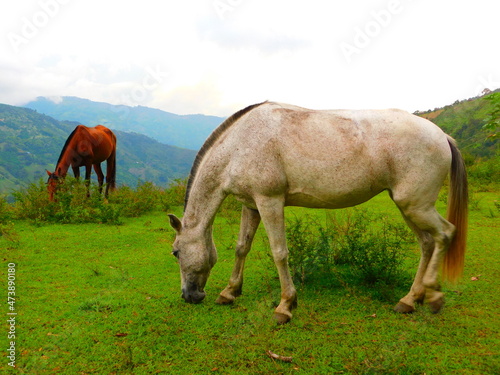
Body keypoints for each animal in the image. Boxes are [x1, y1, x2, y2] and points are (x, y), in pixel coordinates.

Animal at [169, 101, 468, 324]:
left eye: (176, 252)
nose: (189, 296)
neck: (239, 145)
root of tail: (442, 135)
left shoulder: (269, 201)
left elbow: (279, 253)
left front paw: (285, 305)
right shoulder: (251, 204)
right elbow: (242, 247)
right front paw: (230, 292)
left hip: (416, 206)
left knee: (444, 234)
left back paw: (433, 297)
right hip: (408, 206)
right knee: (427, 243)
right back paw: (410, 299)